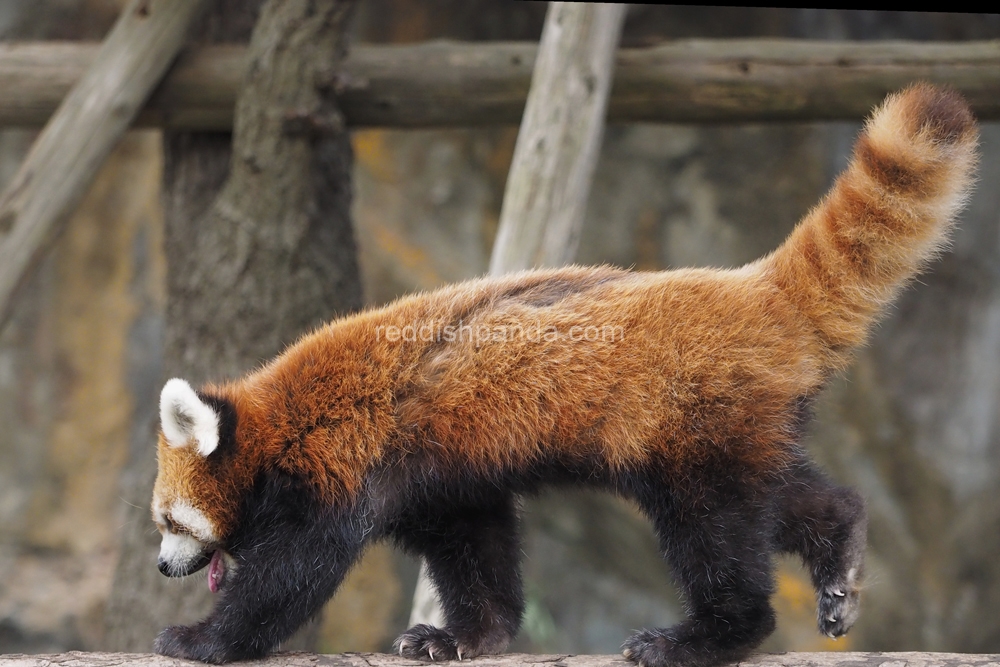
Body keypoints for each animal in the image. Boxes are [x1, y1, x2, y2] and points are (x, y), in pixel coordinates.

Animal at [150, 85, 976, 667]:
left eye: (169, 522)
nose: (162, 566)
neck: (280, 419)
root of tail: (751, 287)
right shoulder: (442, 472)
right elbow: (476, 548)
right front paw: (463, 636)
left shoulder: (343, 460)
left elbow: (293, 572)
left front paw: (200, 637)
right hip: (742, 417)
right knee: (789, 497)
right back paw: (840, 553)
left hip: (682, 423)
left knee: (714, 531)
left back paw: (702, 636)